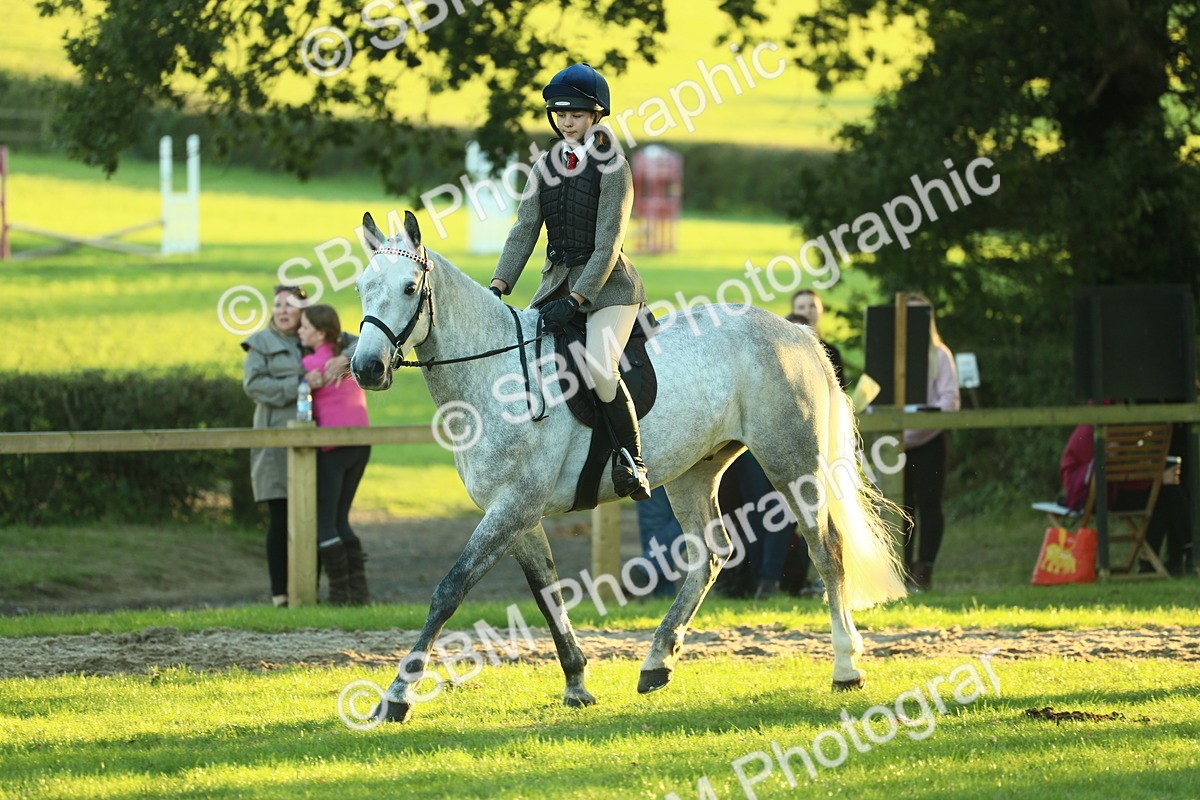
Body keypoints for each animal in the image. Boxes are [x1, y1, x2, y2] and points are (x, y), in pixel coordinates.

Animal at [350, 210, 906, 723]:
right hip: (694, 473)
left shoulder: (512, 509)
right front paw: (577, 683)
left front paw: (396, 697)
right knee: (711, 554)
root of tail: (795, 332)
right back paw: (657, 662)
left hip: (792, 463)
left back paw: (845, 669)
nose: (366, 368)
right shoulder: (518, 516)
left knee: (825, 550)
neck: (495, 374)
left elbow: (450, 590)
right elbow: (548, 595)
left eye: (408, 287)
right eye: (361, 288)